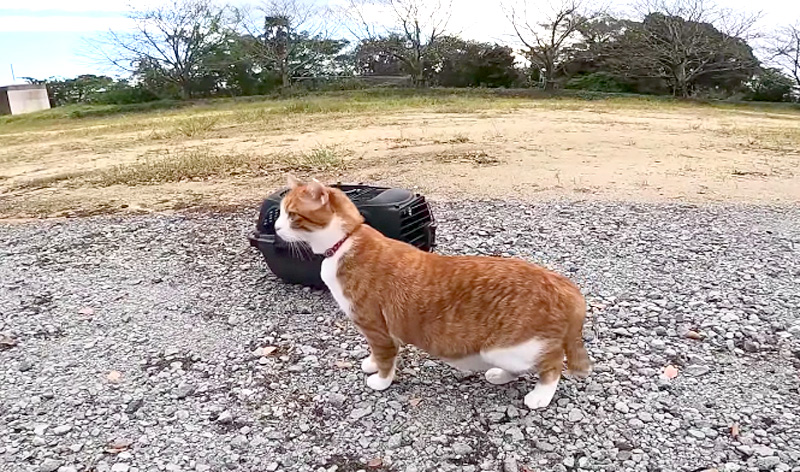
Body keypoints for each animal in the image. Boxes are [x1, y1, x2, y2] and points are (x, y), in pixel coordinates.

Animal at [276, 177, 592, 410]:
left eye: (291, 215)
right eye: (279, 213)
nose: (277, 227)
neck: (345, 241)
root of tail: (561, 282)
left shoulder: (375, 326)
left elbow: (385, 356)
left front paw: (381, 379)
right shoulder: (375, 331)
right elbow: (375, 352)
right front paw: (370, 364)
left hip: (511, 348)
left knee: (553, 364)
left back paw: (540, 395)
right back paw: (499, 375)